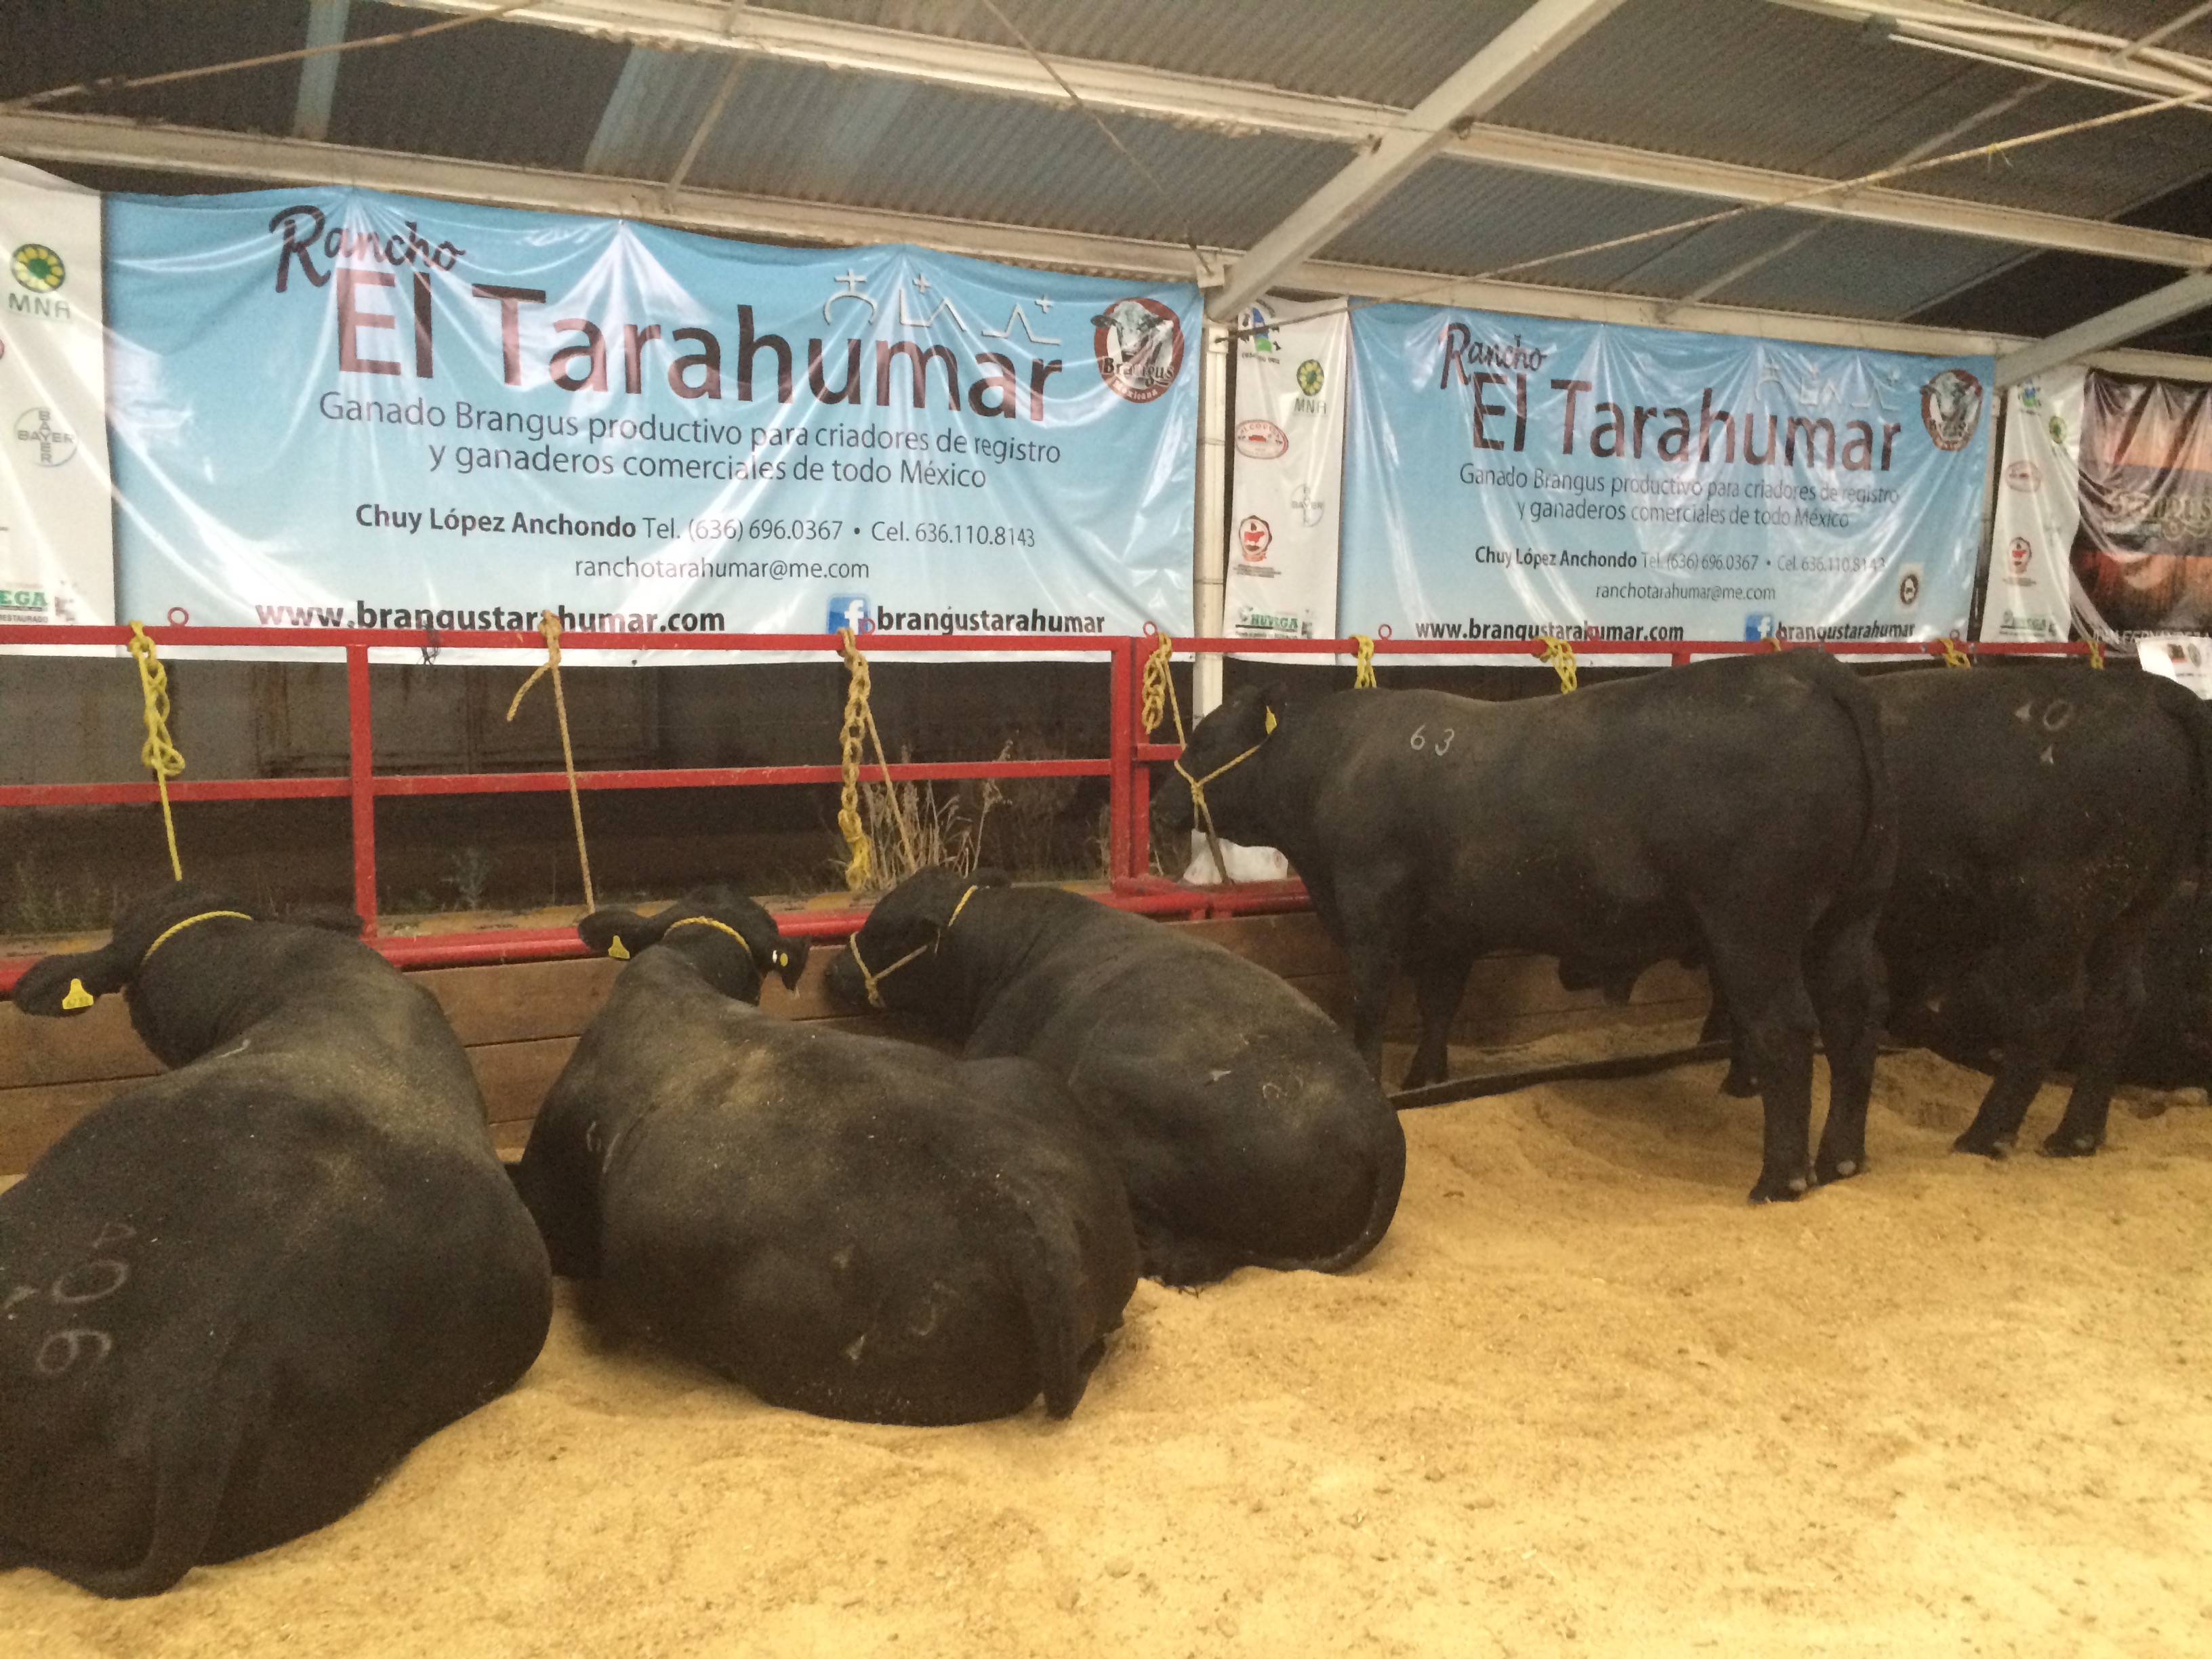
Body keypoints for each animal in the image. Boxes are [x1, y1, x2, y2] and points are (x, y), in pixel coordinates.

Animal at [1152, 652, 1895, 1204]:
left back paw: (1781, 1178)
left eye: (1207, 736)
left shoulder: (1370, 907)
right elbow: (1438, 1004)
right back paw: (1843, 1157)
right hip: (1847, 920)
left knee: (1787, 1031)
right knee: (1854, 1022)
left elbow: (1371, 1004)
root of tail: (1809, 669)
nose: (1160, 805)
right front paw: (1426, 1082)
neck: (1335, 763)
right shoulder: (1448, 930)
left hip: (1753, 928)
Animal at [1713, 666, 2212, 1157]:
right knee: (2118, 1002)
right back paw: (2076, 1136)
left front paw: (1740, 1079)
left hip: (2054, 916)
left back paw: (1986, 1135)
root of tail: (2151, 691)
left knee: (2049, 1013)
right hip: (2133, 912)